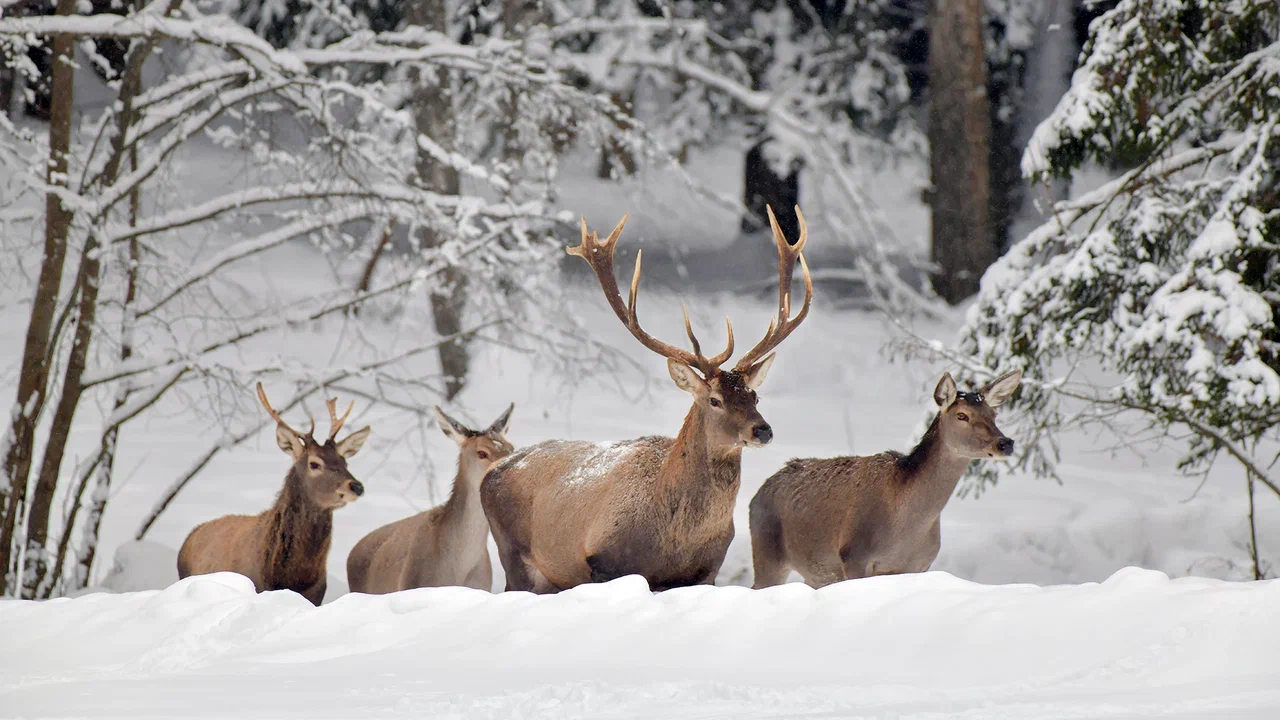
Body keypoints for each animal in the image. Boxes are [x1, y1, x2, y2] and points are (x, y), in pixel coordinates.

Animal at [483, 204, 814, 591]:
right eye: (714, 399)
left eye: (754, 395)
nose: (762, 430)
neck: (674, 540)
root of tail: (492, 471)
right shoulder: (603, 562)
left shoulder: (707, 571)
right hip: (513, 553)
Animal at [747, 366, 1018, 586]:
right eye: (962, 415)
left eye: (994, 415)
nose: (1005, 443)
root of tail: (756, 495)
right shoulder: (854, 553)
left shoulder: (919, 564)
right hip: (767, 551)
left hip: (816, 573)